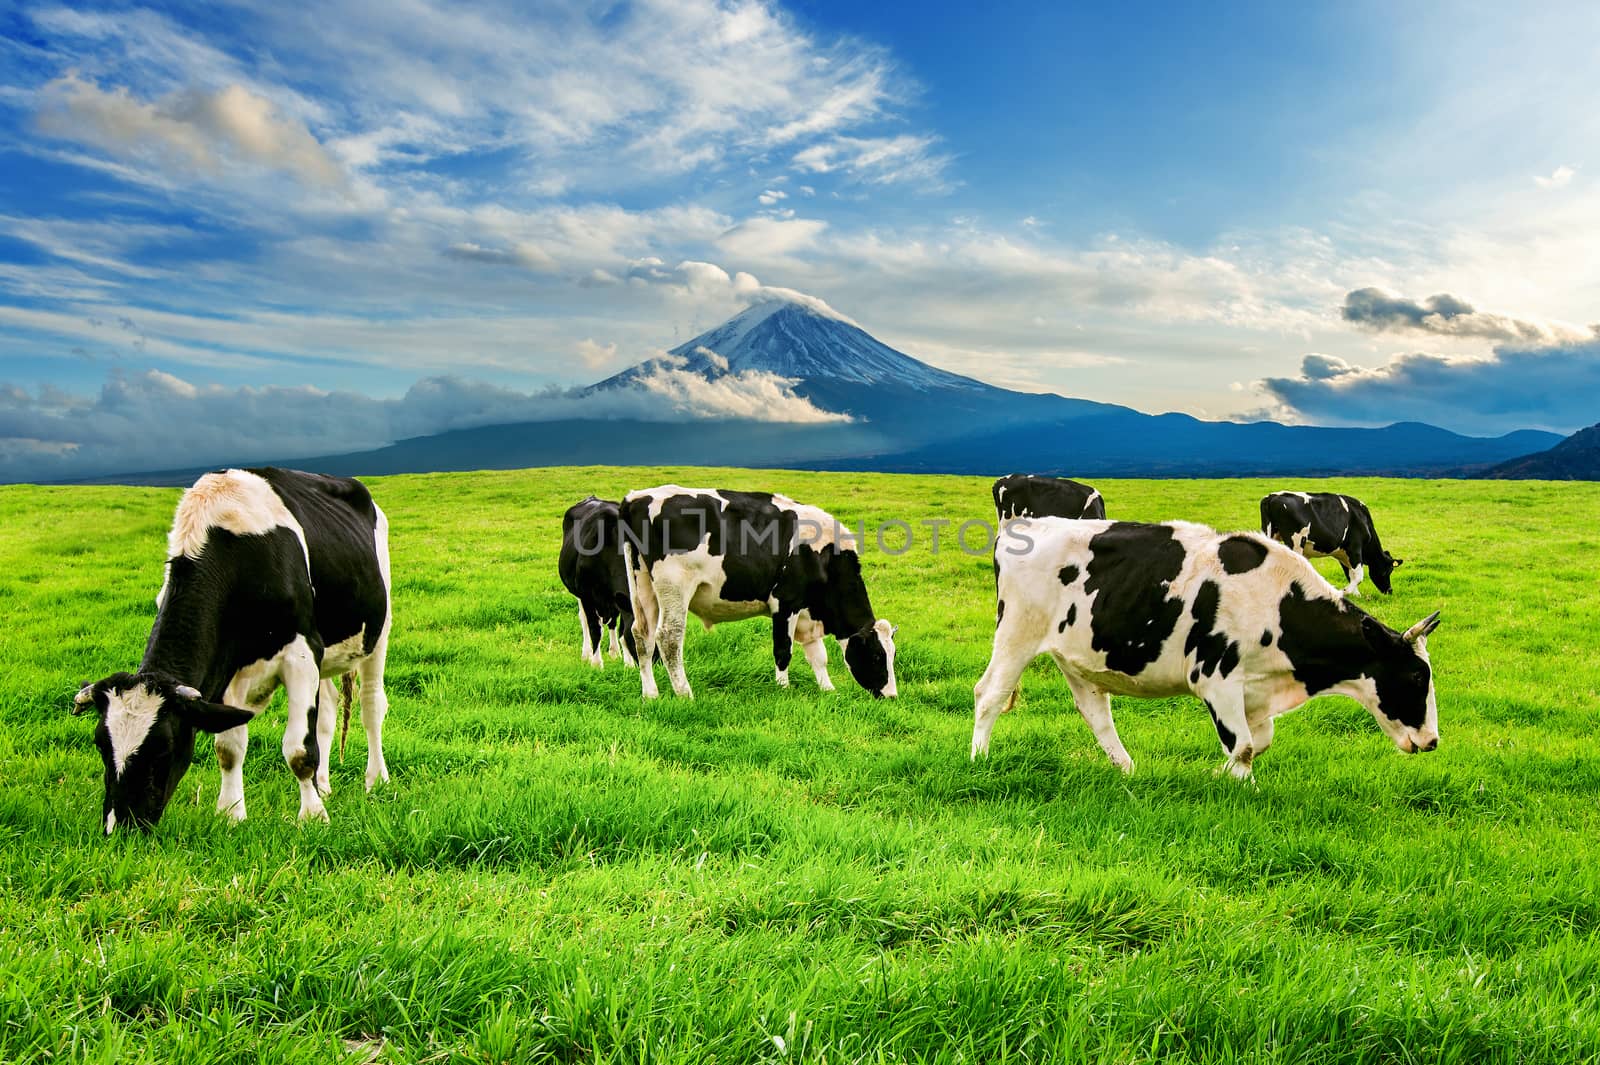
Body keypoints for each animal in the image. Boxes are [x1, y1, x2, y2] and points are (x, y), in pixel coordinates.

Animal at [76, 463, 395, 831]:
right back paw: (325, 784)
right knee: (328, 711)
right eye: (101, 744)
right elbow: (229, 748)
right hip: (328, 651)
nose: (120, 826)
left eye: (163, 748)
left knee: (371, 705)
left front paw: (313, 816)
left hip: (379, 631)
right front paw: (231, 813)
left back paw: (376, 780)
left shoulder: (301, 652)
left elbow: (299, 750)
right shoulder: (228, 668)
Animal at [560, 495, 640, 665]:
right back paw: (586, 654)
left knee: (612, 622)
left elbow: (621, 629)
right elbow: (594, 629)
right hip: (578, 593)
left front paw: (628, 663)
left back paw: (614, 652)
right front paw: (596, 663)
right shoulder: (586, 595)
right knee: (584, 619)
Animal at [620, 486, 902, 700]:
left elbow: (818, 656)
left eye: (893, 655)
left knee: (641, 634)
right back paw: (685, 693)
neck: (825, 558)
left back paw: (651, 694)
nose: (891, 696)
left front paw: (828, 689)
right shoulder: (785, 602)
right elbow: (783, 649)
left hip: (643, 583)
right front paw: (783, 688)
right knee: (669, 636)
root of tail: (636, 498)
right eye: (877, 656)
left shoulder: (807, 613)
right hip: (674, 585)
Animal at [966, 518, 1446, 777]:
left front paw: (1218, 773)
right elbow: (1245, 745)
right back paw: (979, 758)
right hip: (1017, 633)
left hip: (1078, 656)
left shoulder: (1255, 690)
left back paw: (1128, 770)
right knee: (989, 694)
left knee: (1096, 714)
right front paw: (1238, 784)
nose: (1432, 741)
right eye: (1415, 675)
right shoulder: (1216, 678)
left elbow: (1258, 741)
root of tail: (1023, 525)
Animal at [1260, 486, 1401, 588]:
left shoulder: (1343, 554)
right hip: (1296, 541)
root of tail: (1272, 497)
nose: (1389, 590)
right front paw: (1344, 592)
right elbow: (1358, 576)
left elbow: (1350, 575)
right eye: (1388, 571)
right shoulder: (1355, 548)